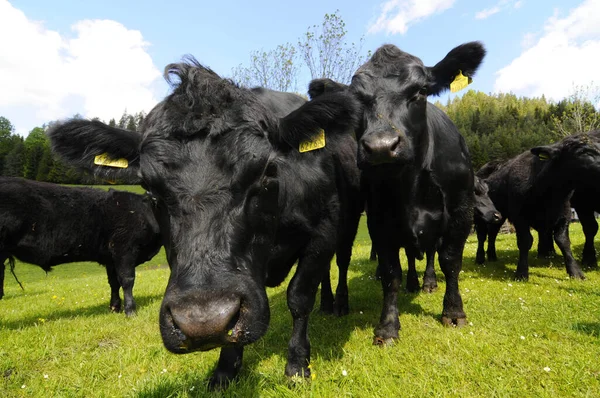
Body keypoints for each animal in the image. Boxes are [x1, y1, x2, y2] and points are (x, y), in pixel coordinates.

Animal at [0, 176, 162, 314]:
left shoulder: (110, 258)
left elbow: (114, 282)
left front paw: (115, 308)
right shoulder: (124, 249)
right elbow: (127, 280)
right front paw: (130, 310)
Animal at [47, 57, 360, 388]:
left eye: (266, 173)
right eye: (150, 189)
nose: (203, 321)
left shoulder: (323, 233)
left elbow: (299, 297)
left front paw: (297, 365)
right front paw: (225, 369)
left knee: (339, 263)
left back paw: (338, 305)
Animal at [474, 131, 600, 280]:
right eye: (583, 152)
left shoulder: (564, 215)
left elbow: (563, 242)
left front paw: (575, 271)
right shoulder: (519, 217)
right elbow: (525, 241)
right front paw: (522, 272)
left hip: (499, 214)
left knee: (493, 233)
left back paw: (492, 256)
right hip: (481, 215)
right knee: (482, 235)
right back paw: (480, 258)